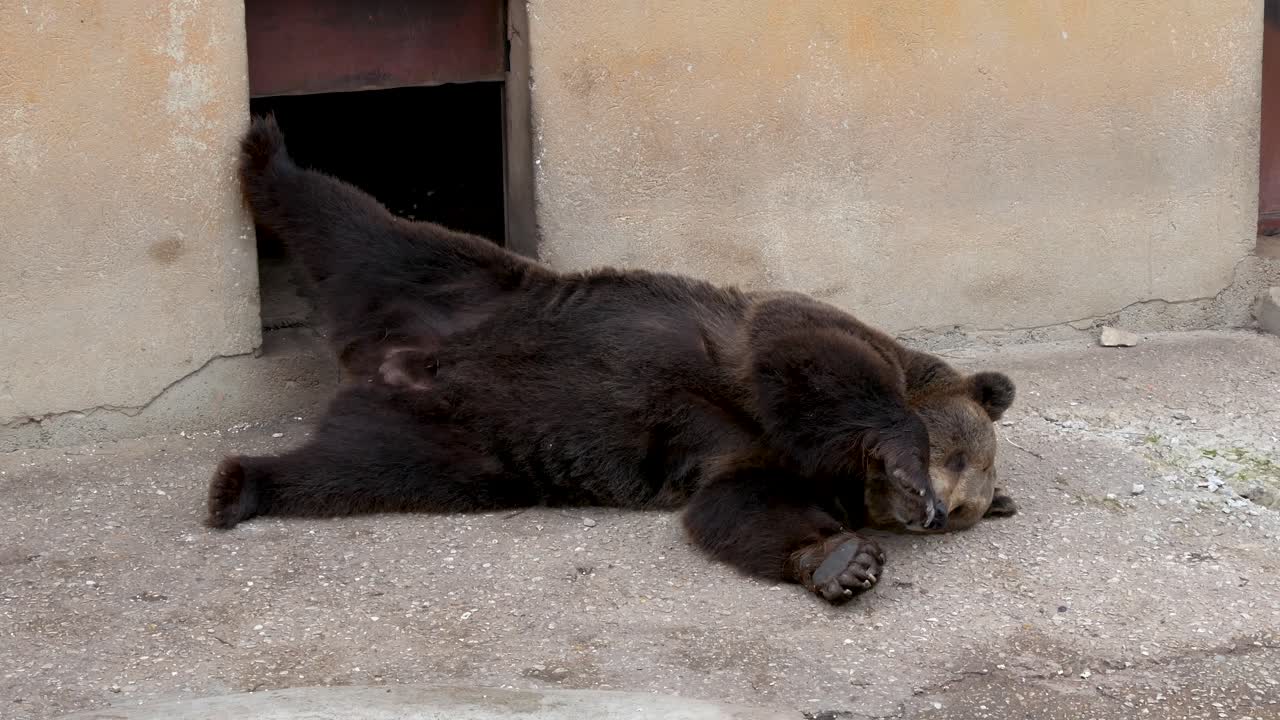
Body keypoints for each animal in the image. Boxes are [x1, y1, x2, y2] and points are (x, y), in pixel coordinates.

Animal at [206, 115, 1018, 604]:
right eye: (952, 458)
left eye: (963, 512)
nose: (929, 514)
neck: (837, 467)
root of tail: (380, 363)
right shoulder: (779, 349)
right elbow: (811, 357)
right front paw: (890, 476)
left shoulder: (745, 457)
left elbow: (741, 505)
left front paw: (838, 562)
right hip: (458, 285)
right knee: (351, 222)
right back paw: (266, 152)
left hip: (460, 445)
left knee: (357, 470)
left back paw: (240, 485)